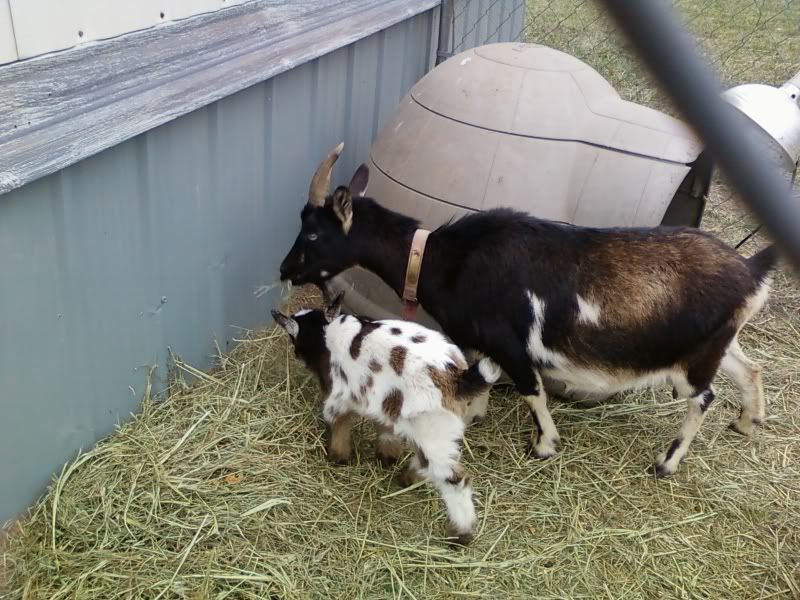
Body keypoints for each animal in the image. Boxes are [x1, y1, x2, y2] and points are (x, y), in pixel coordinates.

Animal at [271, 293, 502, 545]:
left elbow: (339, 424)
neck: (323, 333)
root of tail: (457, 377)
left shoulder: (337, 397)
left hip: (434, 431)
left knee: (454, 480)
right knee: (425, 459)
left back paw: (461, 533)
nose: (295, 353)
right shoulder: (382, 399)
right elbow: (384, 428)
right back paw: (408, 478)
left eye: (292, 335)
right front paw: (387, 455)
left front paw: (338, 457)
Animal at [279, 143, 778, 477]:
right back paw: (747, 421)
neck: (445, 260)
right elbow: (479, 377)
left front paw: (544, 446)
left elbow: (530, 389)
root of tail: (751, 271)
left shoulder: (511, 344)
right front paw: (473, 417)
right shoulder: (484, 344)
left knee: (704, 397)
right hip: (717, 343)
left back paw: (667, 462)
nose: (284, 269)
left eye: (314, 233)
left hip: (693, 362)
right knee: (748, 368)